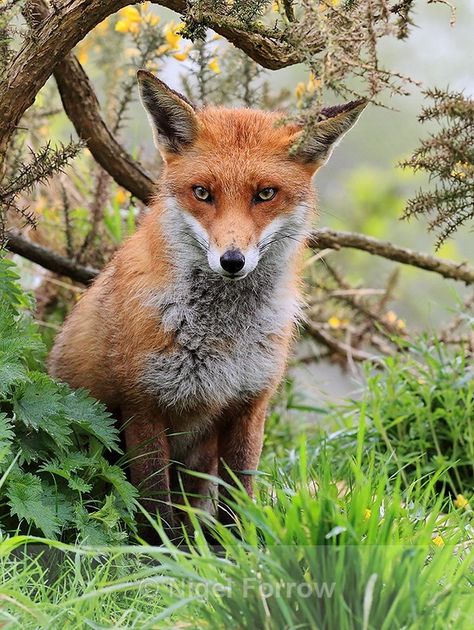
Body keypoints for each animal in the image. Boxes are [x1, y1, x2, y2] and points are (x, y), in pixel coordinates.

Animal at [48, 69, 366, 532]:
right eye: (202, 193)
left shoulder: (250, 403)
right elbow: (155, 507)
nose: (232, 260)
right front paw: (158, 551)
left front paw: (241, 546)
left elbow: (240, 500)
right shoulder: (142, 404)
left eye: (265, 194)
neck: (222, 336)